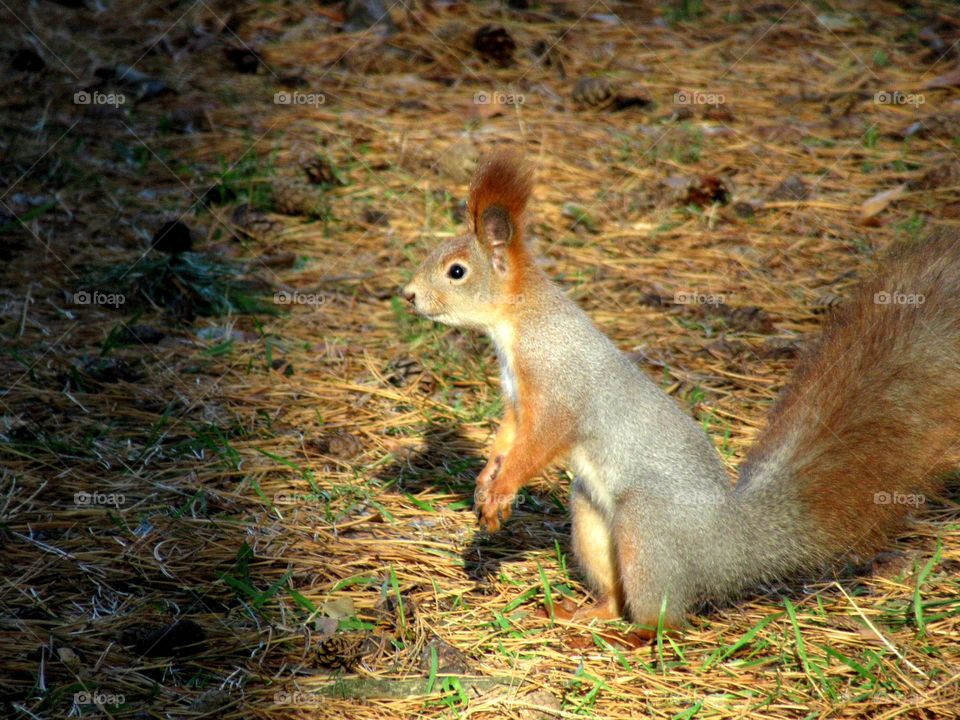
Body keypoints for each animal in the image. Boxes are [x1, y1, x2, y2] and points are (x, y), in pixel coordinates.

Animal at [402, 150, 960, 630]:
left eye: (456, 271)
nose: (407, 295)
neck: (517, 325)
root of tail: (729, 547)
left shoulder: (558, 389)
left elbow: (540, 441)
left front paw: (503, 487)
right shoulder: (518, 401)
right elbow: (506, 437)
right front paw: (486, 482)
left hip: (645, 527)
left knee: (664, 617)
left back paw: (632, 636)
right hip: (591, 517)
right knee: (616, 596)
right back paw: (582, 616)